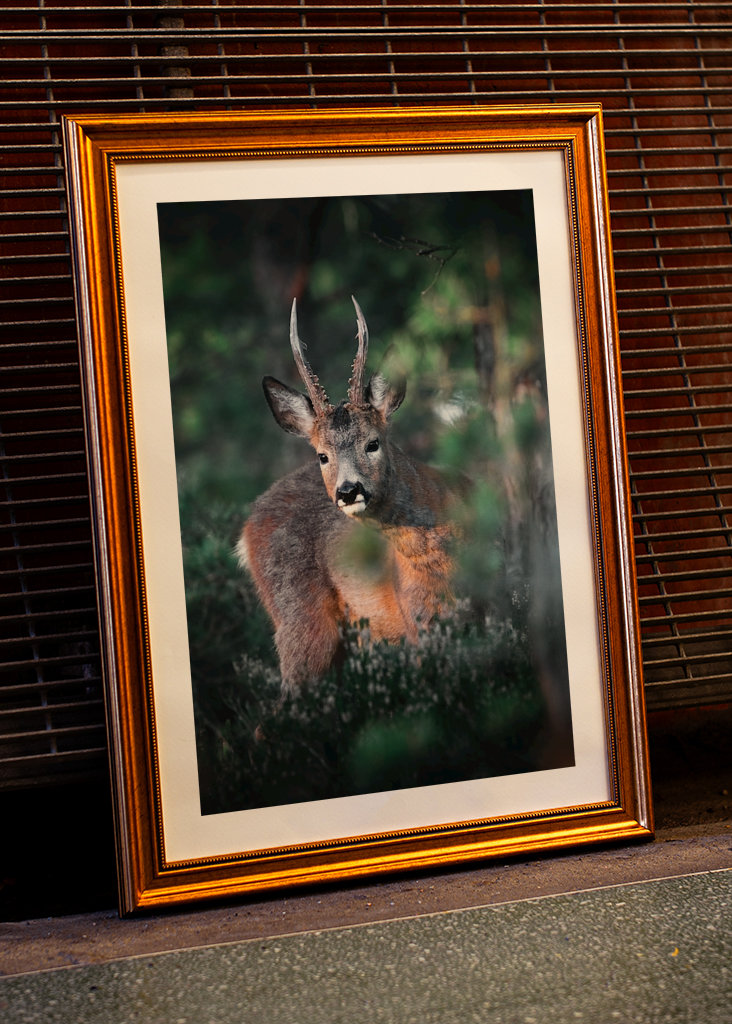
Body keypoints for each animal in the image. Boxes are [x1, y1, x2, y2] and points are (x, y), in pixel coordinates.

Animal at [238, 297, 459, 700]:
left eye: (373, 442)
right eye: (322, 455)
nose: (347, 490)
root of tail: (247, 528)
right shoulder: (418, 620)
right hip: (302, 620)